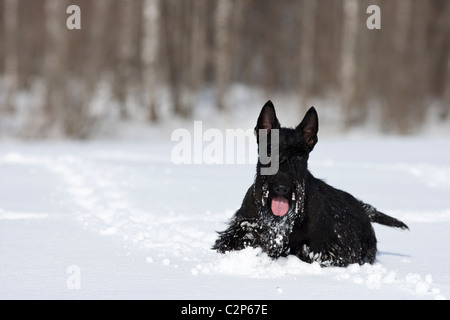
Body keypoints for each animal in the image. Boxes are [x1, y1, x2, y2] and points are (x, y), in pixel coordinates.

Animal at [213, 101, 410, 266]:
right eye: (269, 152)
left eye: (301, 156)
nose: (282, 188)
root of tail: (363, 207)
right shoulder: (240, 229)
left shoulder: (323, 250)